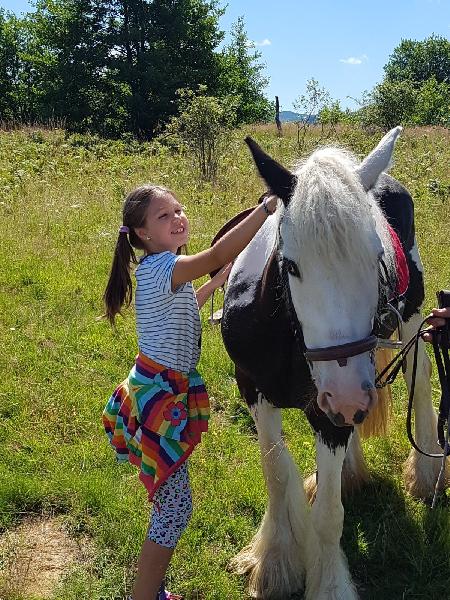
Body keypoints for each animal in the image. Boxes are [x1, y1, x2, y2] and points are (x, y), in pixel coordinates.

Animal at [219, 127, 446, 600]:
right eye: (290, 264)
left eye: (377, 258)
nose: (345, 397)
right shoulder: (254, 389)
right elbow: (276, 473)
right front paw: (275, 560)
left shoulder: (333, 410)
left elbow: (328, 516)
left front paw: (326, 582)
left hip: (413, 322)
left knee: (419, 384)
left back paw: (427, 473)